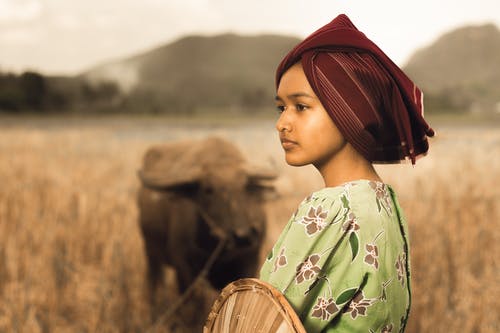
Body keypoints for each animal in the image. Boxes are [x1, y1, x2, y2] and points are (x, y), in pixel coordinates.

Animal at [139, 136, 276, 300]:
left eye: (245, 186)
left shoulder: (250, 259)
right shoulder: (184, 268)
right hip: (151, 252)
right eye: (208, 189)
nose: (242, 236)